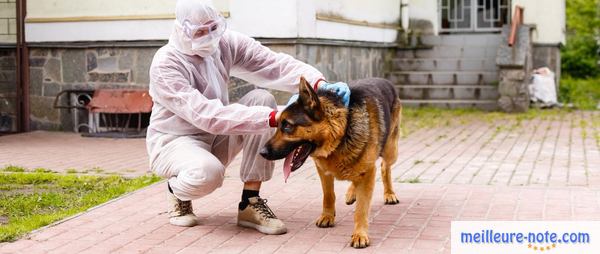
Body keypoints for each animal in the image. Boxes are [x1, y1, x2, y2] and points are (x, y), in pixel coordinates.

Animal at [260, 76, 400, 247]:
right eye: (278, 124)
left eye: (287, 126)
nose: (262, 152)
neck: (340, 134)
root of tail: (384, 79)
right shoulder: (323, 169)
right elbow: (328, 195)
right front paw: (327, 216)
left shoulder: (368, 171)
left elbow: (361, 209)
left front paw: (359, 234)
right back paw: (352, 193)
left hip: (391, 151)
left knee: (384, 166)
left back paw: (389, 194)